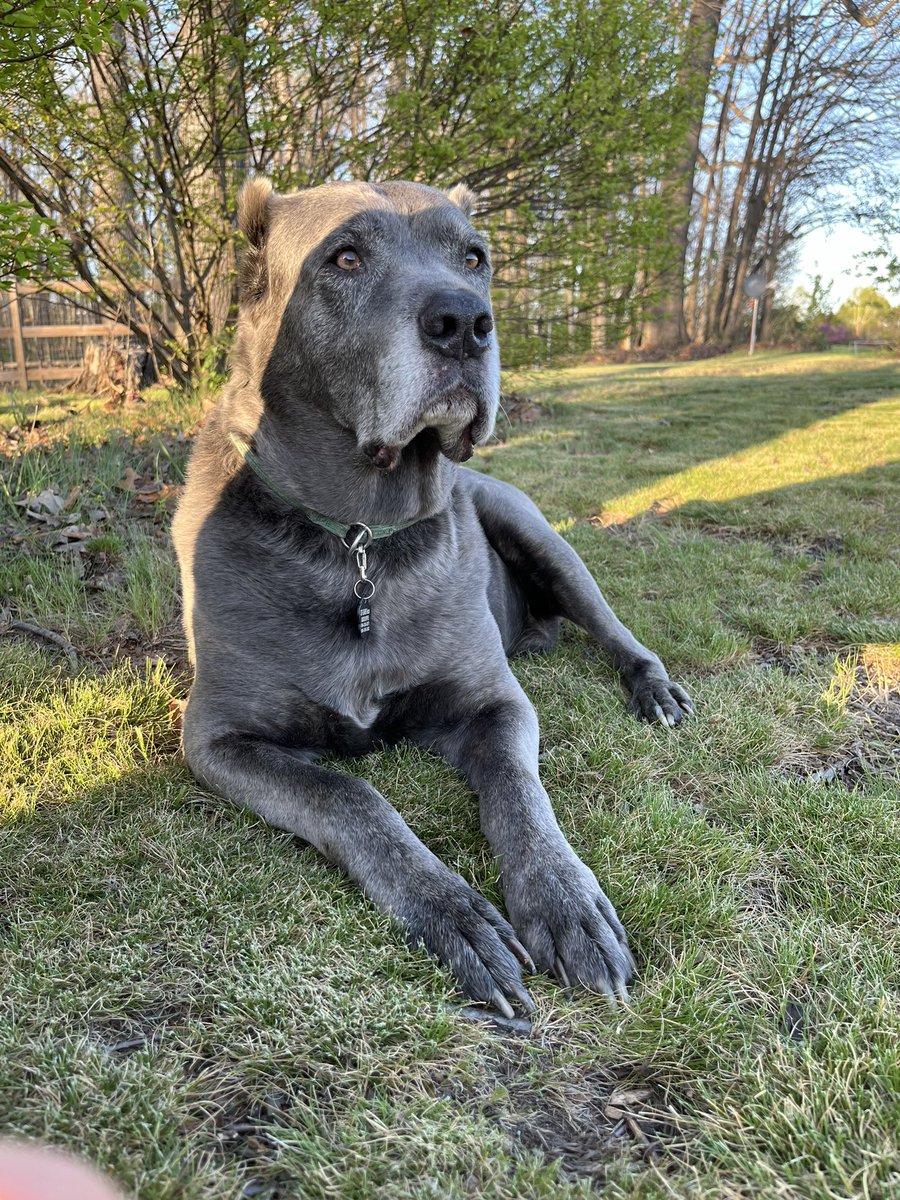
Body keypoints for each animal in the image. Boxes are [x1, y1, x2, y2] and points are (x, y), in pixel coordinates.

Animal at [172, 177, 696, 1017]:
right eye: (345, 257)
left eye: (474, 257)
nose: (465, 323)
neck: (358, 538)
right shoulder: (217, 738)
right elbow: (347, 794)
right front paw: (452, 914)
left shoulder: (495, 703)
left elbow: (518, 790)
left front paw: (566, 902)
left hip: (538, 532)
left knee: (616, 632)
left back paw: (654, 689)